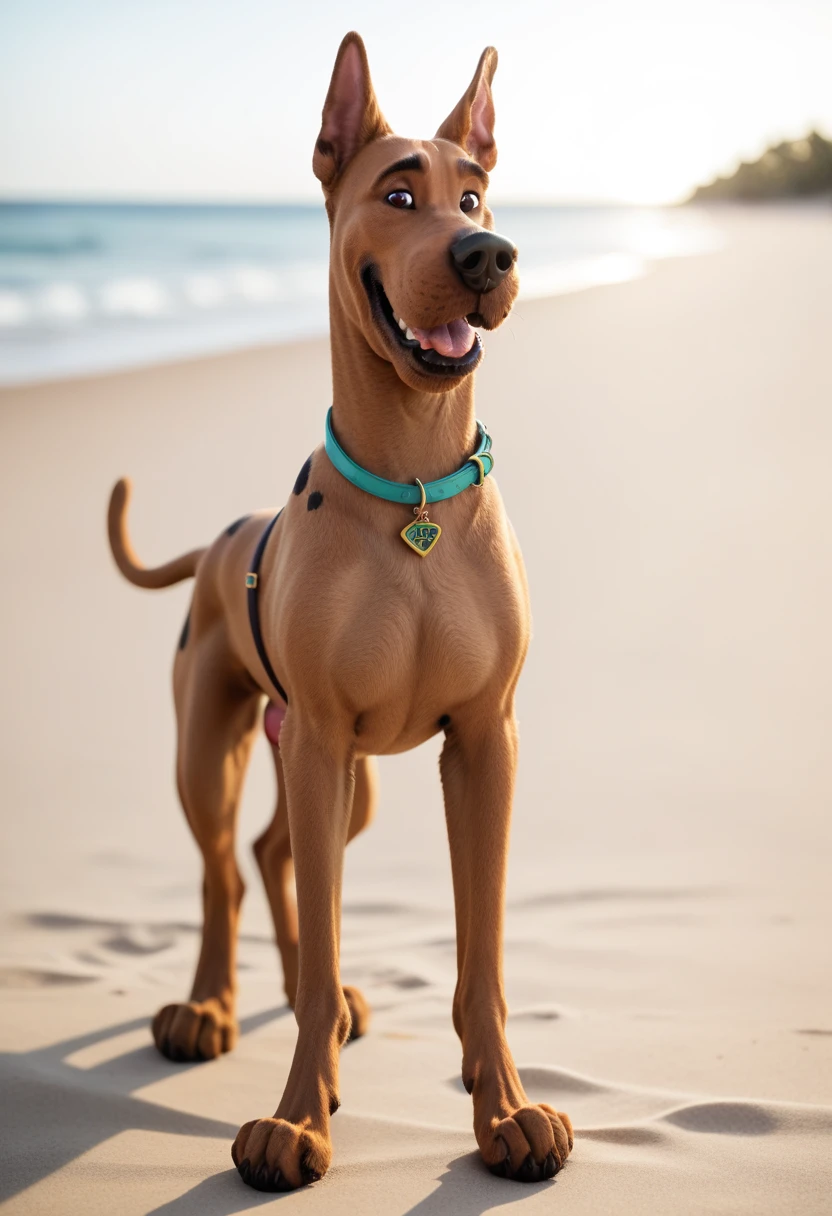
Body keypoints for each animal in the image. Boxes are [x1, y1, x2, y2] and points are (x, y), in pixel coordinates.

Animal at [107, 30, 569, 1196]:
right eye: (398, 194)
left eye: (475, 195)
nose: (487, 256)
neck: (412, 485)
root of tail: (224, 537)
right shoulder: (319, 736)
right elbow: (311, 938)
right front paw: (295, 1121)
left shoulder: (483, 743)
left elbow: (482, 957)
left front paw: (504, 1109)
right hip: (221, 743)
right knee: (226, 866)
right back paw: (209, 1008)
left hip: (349, 778)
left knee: (276, 851)